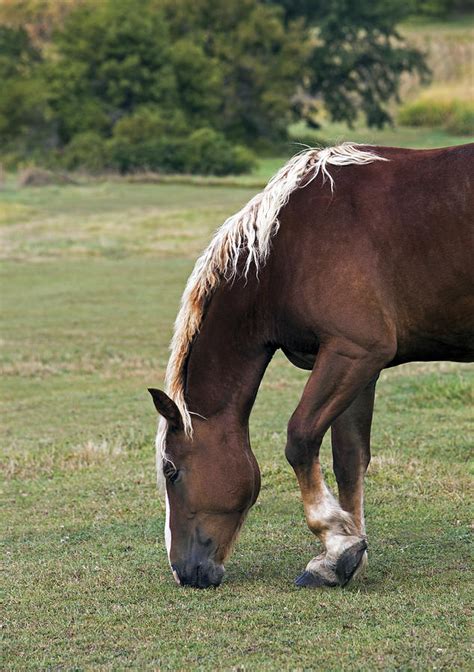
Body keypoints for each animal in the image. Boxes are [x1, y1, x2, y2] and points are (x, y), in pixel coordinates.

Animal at [149, 142, 474, 588]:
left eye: (171, 471)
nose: (182, 572)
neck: (285, 253)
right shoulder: (358, 365)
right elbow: (349, 459)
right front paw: (348, 554)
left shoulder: (353, 351)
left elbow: (301, 438)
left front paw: (335, 546)